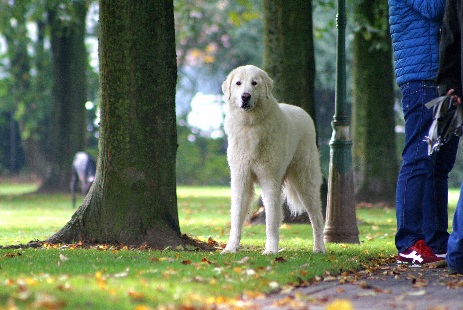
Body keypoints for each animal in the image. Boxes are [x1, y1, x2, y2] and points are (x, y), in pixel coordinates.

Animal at [221, 65, 326, 254]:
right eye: (238, 83)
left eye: (254, 83)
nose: (245, 96)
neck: (250, 125)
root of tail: (302, 111)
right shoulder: (240, 179)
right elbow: (237, 217)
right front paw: (231, 248)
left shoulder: (269, 180)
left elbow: (271, 220)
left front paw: (270, 250)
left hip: (305, 183)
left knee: (317, 218)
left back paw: (319, 248)